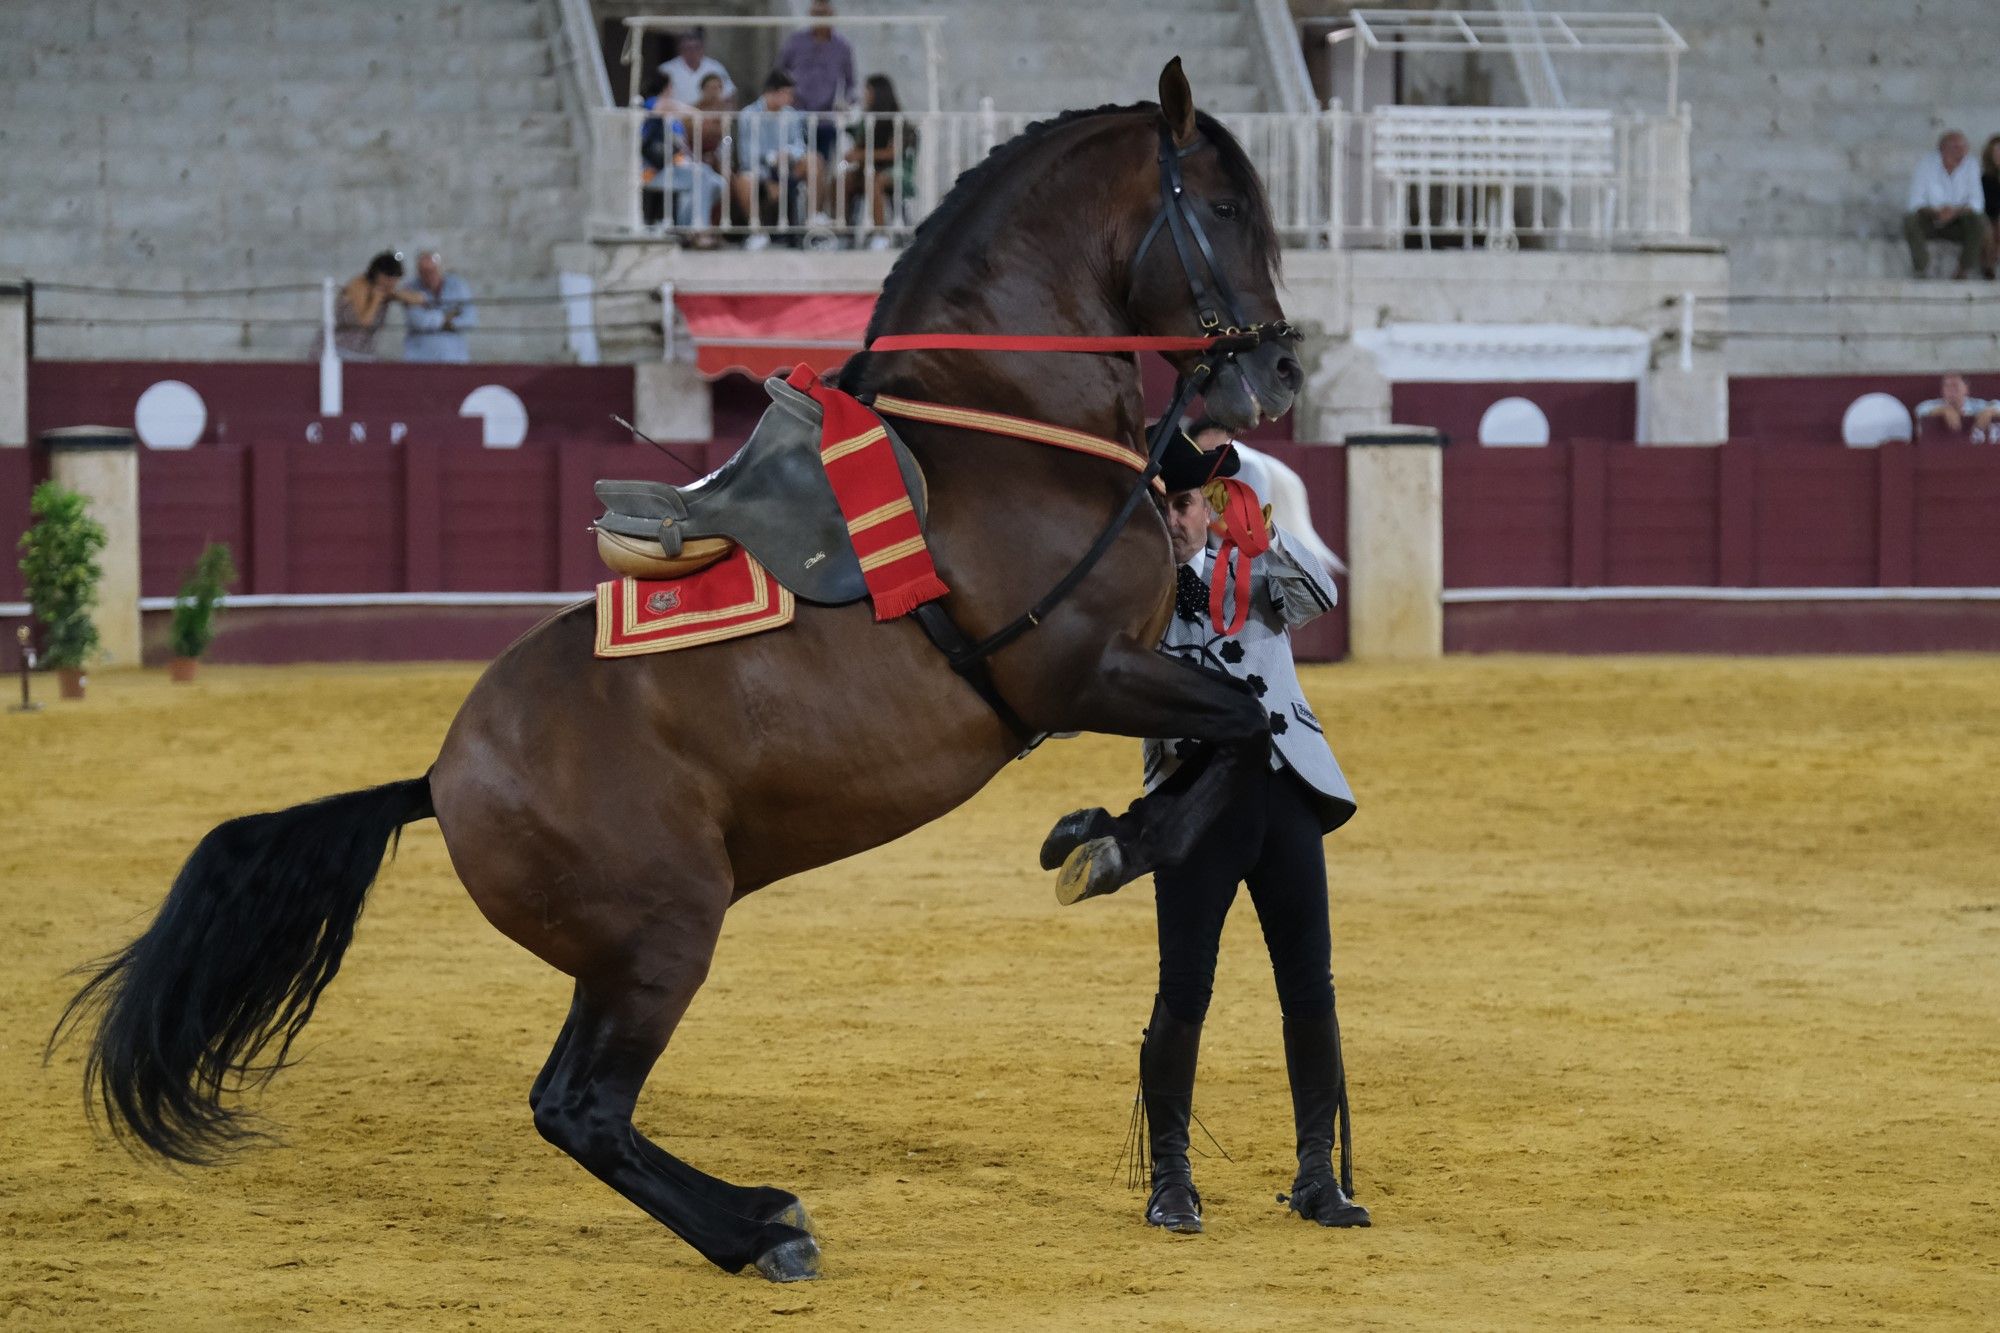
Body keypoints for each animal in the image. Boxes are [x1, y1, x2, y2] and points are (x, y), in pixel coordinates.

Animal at [54, 62, 1304, 1280]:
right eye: (1225, 208)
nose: (1281, 371)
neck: (999, 425)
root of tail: (438, 778)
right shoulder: (1078, 670)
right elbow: (1242, 729)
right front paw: (1104, 846)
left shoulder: (1121, 671)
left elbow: (1231, 737)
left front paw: (1096, 832)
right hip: (664, 935)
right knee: (582, 1108)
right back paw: (762, 1225)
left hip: (611, 959)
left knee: (568, 1100)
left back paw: (751, 1221)